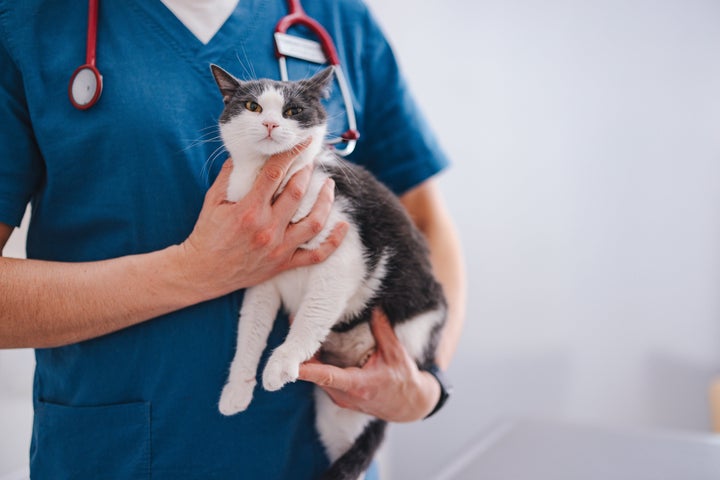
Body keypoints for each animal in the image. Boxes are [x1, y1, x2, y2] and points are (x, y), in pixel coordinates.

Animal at [210, 64, 444, 480]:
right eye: (253, 107)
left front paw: (283, 361)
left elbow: (313, 311)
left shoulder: (343, 252)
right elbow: (250, 329)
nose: (270, 123)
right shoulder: (260, 273)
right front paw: (237, 387)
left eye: (292, 110)